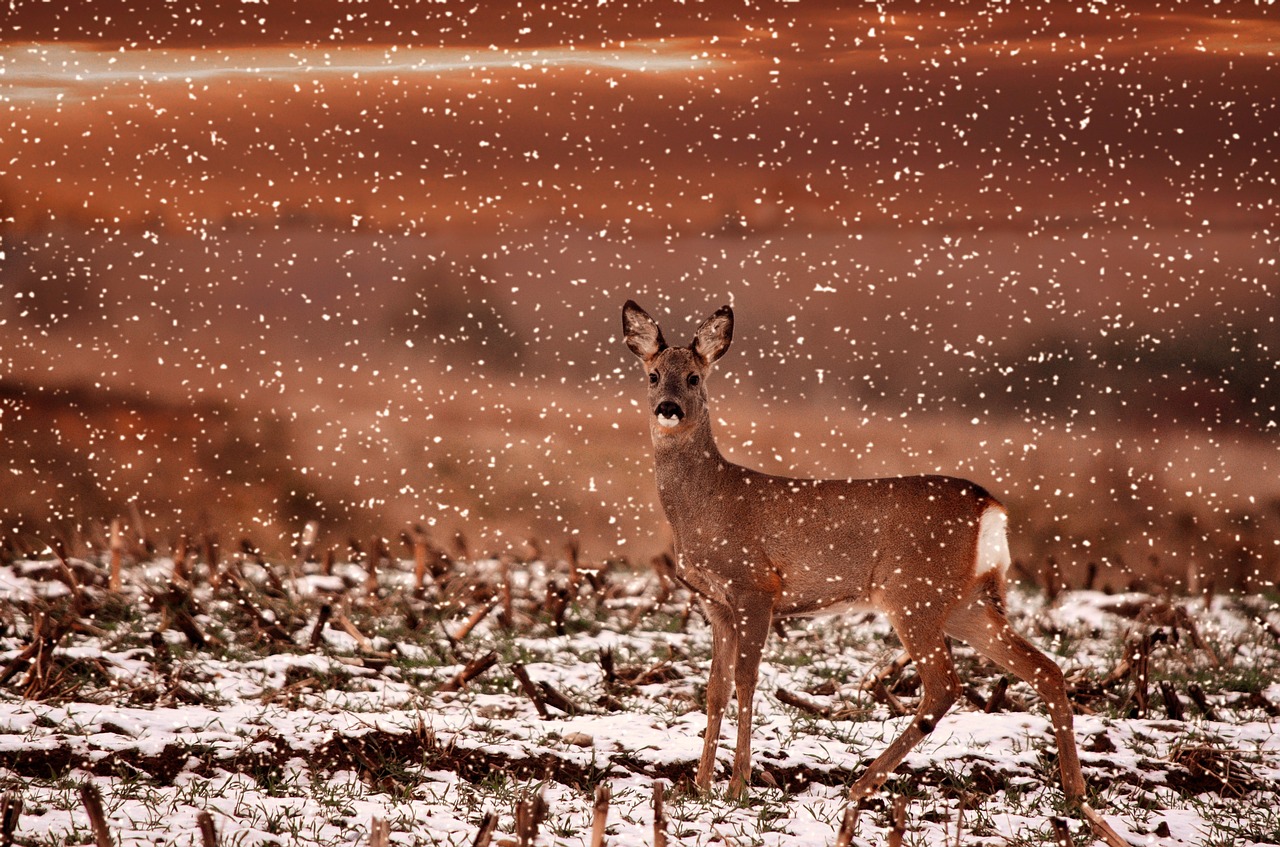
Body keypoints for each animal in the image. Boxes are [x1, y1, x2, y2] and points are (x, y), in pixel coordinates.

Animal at [624, 301, 1126, 844]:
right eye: (653, 375)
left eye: (695, 377)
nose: (667, 408)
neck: (708, 504)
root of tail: (991, 508)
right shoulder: (714, 601)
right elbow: (714, 689)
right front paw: (697, 785)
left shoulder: (755, 586)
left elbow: (746, 680)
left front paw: (736, 786)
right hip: (966, 602)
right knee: (1045, 668)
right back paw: (1076, 797)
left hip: (913, 592)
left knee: (945, 685)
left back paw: (863, 785)